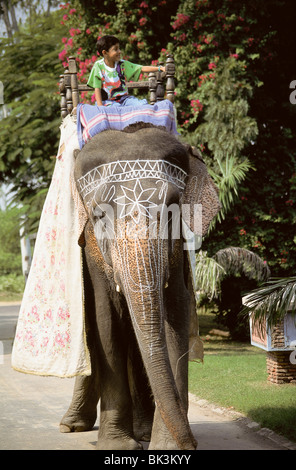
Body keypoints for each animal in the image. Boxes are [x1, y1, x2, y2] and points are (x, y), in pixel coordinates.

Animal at [59, 123, 220, 450]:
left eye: (173, 209)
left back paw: (142, 431)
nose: (192, 443)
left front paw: (168, 446)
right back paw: (71, 426)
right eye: (99, 215)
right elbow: (106, 321)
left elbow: (175, 316)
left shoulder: (177, 253)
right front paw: (120, 446)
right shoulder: (92, 254)